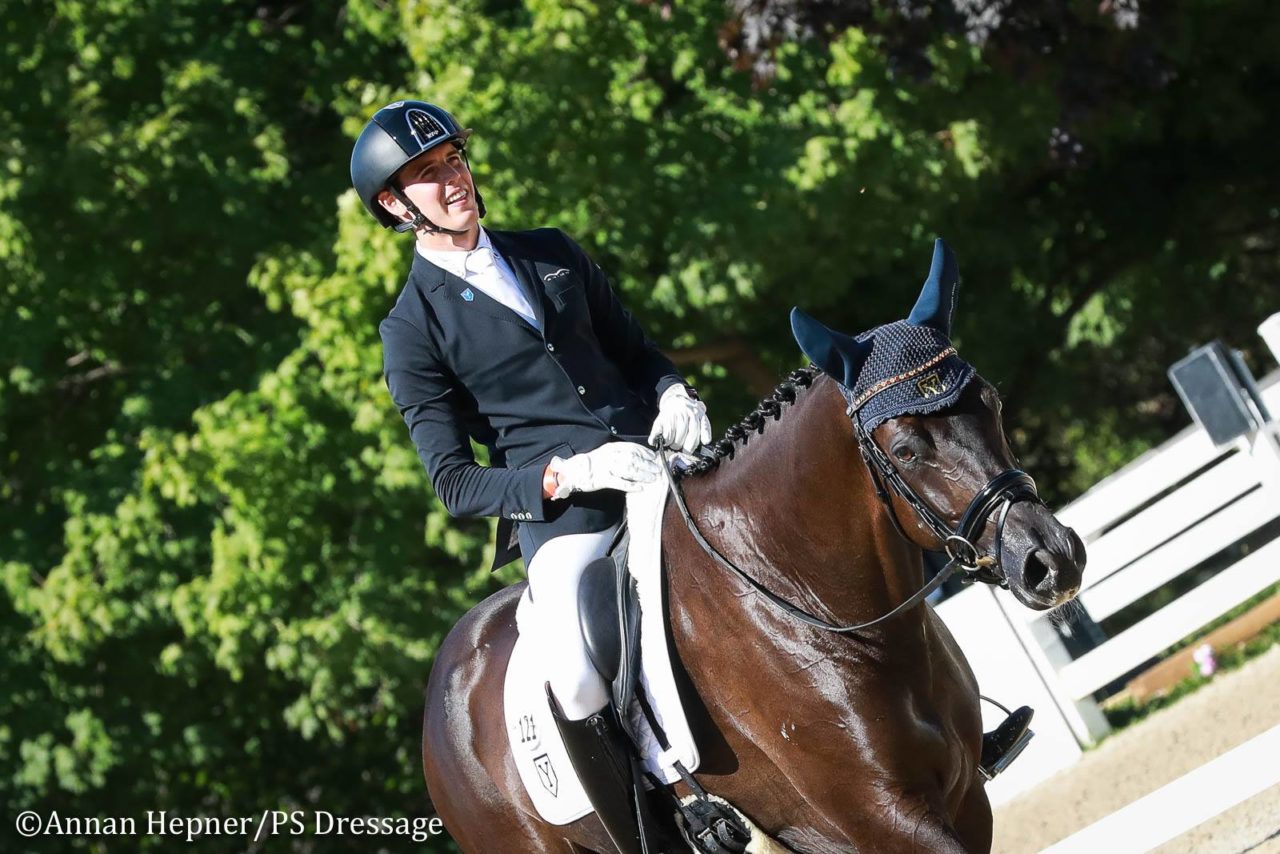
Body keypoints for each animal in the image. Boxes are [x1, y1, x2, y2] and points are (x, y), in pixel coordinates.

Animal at [424, 241, 1085, 854]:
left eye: (992, 402)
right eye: (905, 450)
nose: (1051, 560)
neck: (800, 597)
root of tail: (443, 684)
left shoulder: (965, 798)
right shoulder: (889, 821)